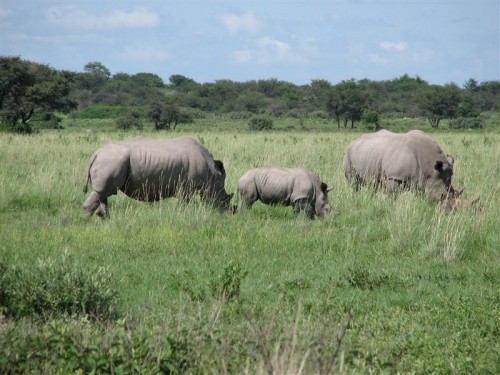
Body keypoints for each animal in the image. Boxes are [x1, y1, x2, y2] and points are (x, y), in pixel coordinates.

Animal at [84, 136, 234, 217]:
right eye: (224, 200)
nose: (226, 214)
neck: (212, 174)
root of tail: (96, 153)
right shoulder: (187, 187)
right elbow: (182, 204)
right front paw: (180, 216)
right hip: (111, 161)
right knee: (102, 192)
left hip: (109, 161)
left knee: (102, 194)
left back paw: (106, 220)